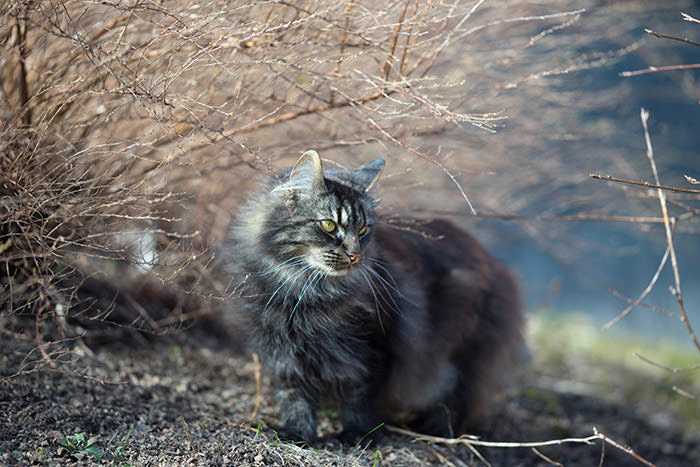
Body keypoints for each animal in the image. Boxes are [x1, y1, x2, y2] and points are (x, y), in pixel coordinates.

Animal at [227, 150, 524, 442]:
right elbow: (294, 397)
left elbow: (360, 397)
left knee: (457, 398)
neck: (304, 292)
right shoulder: (283, 353)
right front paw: (296, 433)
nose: (354, 255)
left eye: (362, 230)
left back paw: (435, 429)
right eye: (328, 225)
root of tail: (497, 264)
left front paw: (357, 435)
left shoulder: (371, 349)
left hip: (462, 352)